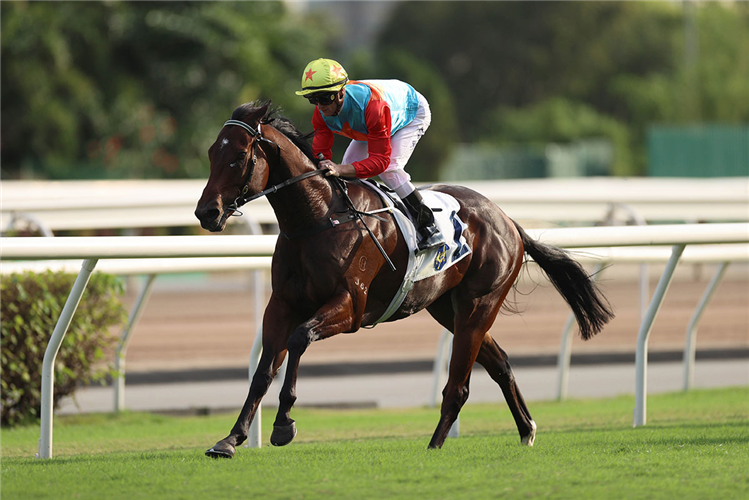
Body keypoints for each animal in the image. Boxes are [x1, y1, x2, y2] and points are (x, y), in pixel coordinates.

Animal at [193, 100, 612, 458]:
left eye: (238, 157)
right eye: (212, 153)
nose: (205, 213)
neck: (317, 218)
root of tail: (507, 219)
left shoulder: (349, 307)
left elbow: (299, 340)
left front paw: (283, 424)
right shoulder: (282, 304)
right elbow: (263, 371)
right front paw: (231, 439)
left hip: (479, 304)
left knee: (459, 386)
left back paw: (435, 445)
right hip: (448, 308)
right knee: (500, 364)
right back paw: (526, 429)